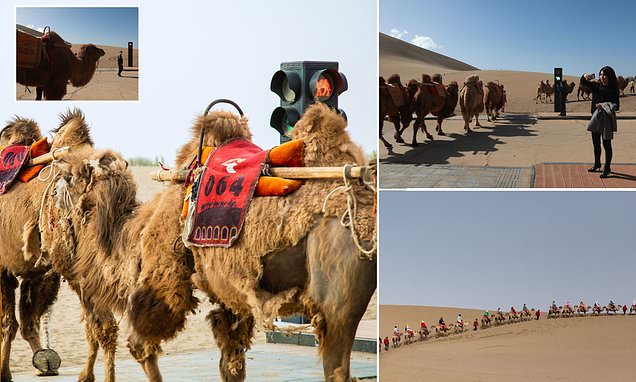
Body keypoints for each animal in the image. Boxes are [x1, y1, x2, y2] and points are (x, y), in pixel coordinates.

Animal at [0, 112, 97, 382]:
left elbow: (15, 322)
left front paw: (7, 371)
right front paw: (42, 364)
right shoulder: (33, 272)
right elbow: (22, 321)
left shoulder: (16, 270)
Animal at [42, 103, 376, 380]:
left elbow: (141, 345)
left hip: (336, 287)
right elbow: (231, 362)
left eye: (69, 176)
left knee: (336, 364)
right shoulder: (230, 293)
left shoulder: (165, 273)